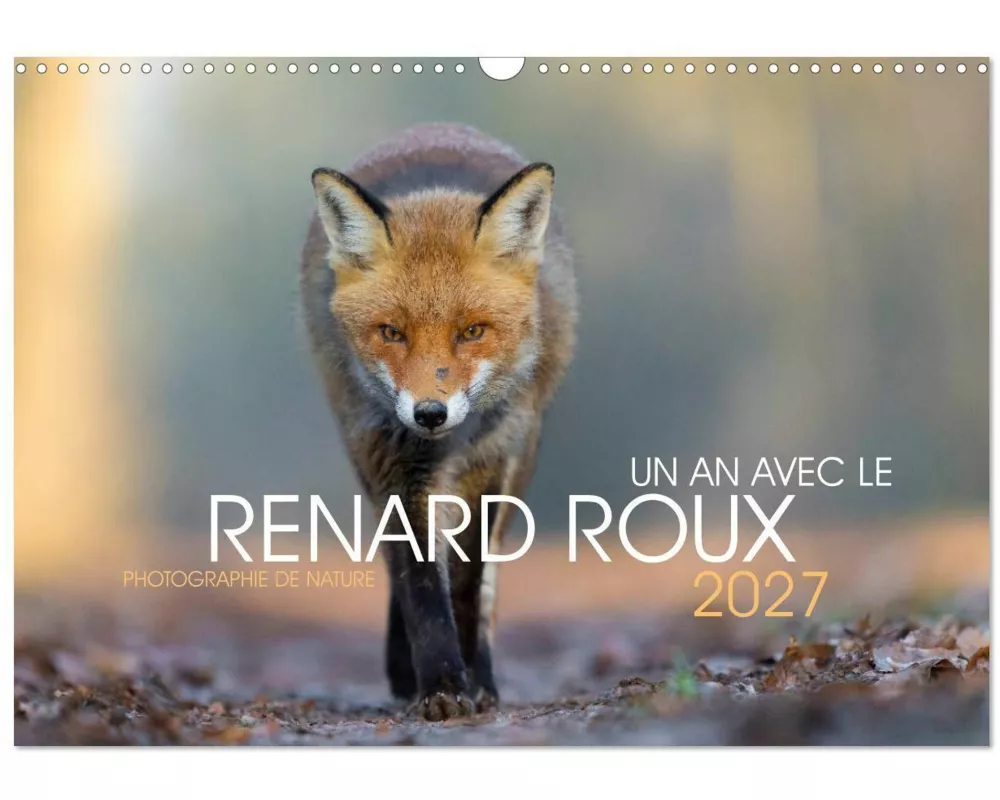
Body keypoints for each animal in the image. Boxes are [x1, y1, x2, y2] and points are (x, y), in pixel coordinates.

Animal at [300, 122, 577, 720]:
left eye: (471, 332)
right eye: (391, 332)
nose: (430, 413)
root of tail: (437, 129)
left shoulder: (491, 464)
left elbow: (468, 583)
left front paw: (472, 679)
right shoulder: (393, 464)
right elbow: (422, 585)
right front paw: (441, 685)